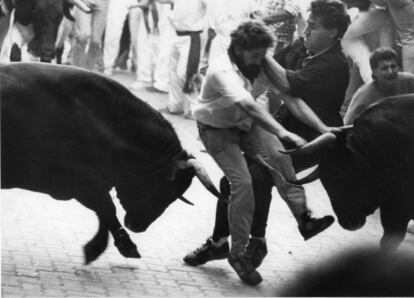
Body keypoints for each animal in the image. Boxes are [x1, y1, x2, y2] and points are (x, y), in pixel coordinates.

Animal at [0, 62, 223, 264]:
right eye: (168, 191)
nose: (138, 226)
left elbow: (105, 212)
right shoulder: (83, 183)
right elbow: (107, 209)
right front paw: (116, 245)